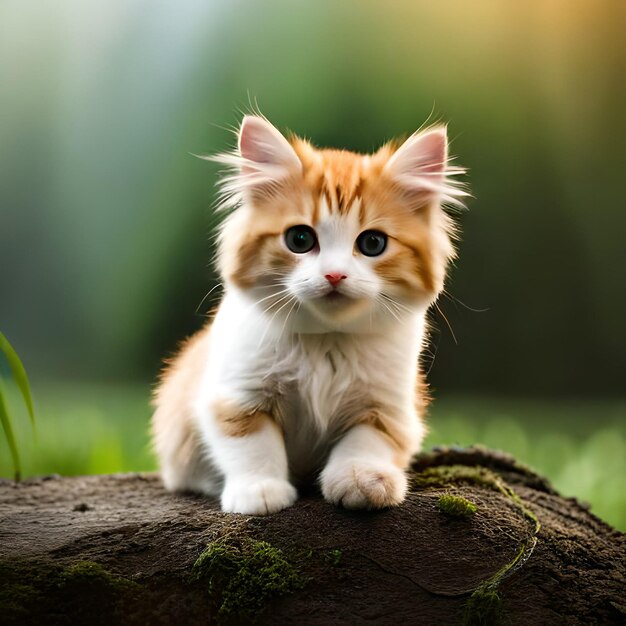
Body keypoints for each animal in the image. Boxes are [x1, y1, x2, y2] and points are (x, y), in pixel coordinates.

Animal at [150, 114, 464, 516]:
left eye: (372, 243)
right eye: (300, 239)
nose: (335, 275)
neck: (325, 339)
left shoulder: (388, 406)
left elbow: (367, 440)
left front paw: (362, 479)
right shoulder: (235, 393)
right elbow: (250, 441)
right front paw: (260, 490)